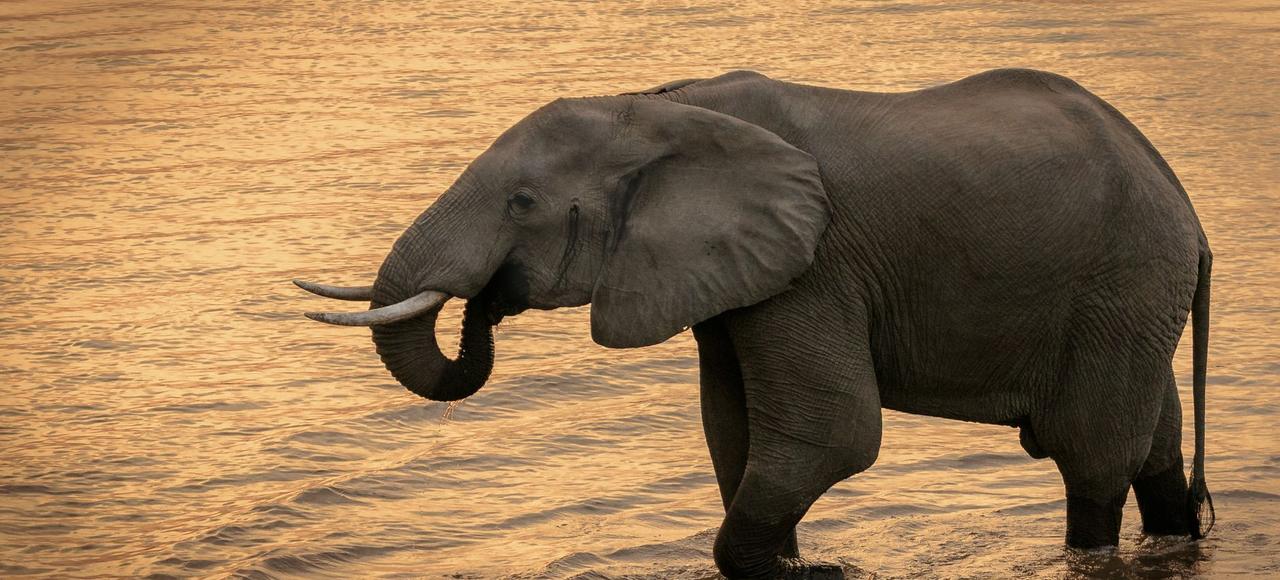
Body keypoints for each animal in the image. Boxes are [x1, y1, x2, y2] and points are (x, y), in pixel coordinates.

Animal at [296, 68, 1214, 579]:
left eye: (522, 204)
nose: (486, 299)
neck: (659, 106)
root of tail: (1184, 200)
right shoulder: (730, 274)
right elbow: (730, 429)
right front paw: (797, 560)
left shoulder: (816, 264)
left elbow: (832, 432)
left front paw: (814, 569)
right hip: (1136, 300)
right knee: (1154, 448)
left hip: (1124, 283)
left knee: (1089, 456)